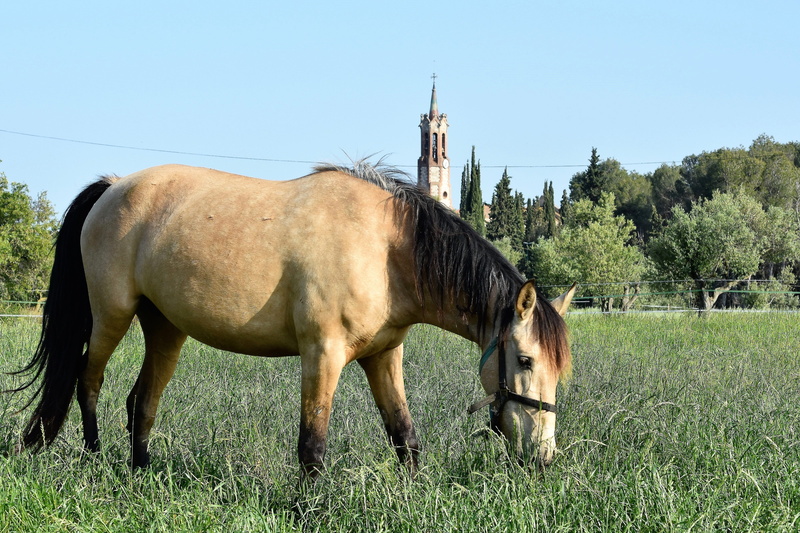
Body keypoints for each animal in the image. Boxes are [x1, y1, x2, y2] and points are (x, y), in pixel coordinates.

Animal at [11, 161, 575, 476]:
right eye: (526, 360)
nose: (543, 456)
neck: (386, 248)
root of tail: (112, 186)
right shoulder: (321, 354)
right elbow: (312, 448)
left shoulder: (382, 357)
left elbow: (405, 438)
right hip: (111, 316)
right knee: (89, 382)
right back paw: (95, 461)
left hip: (166, 330)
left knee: (141, 403)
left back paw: (140, 475)